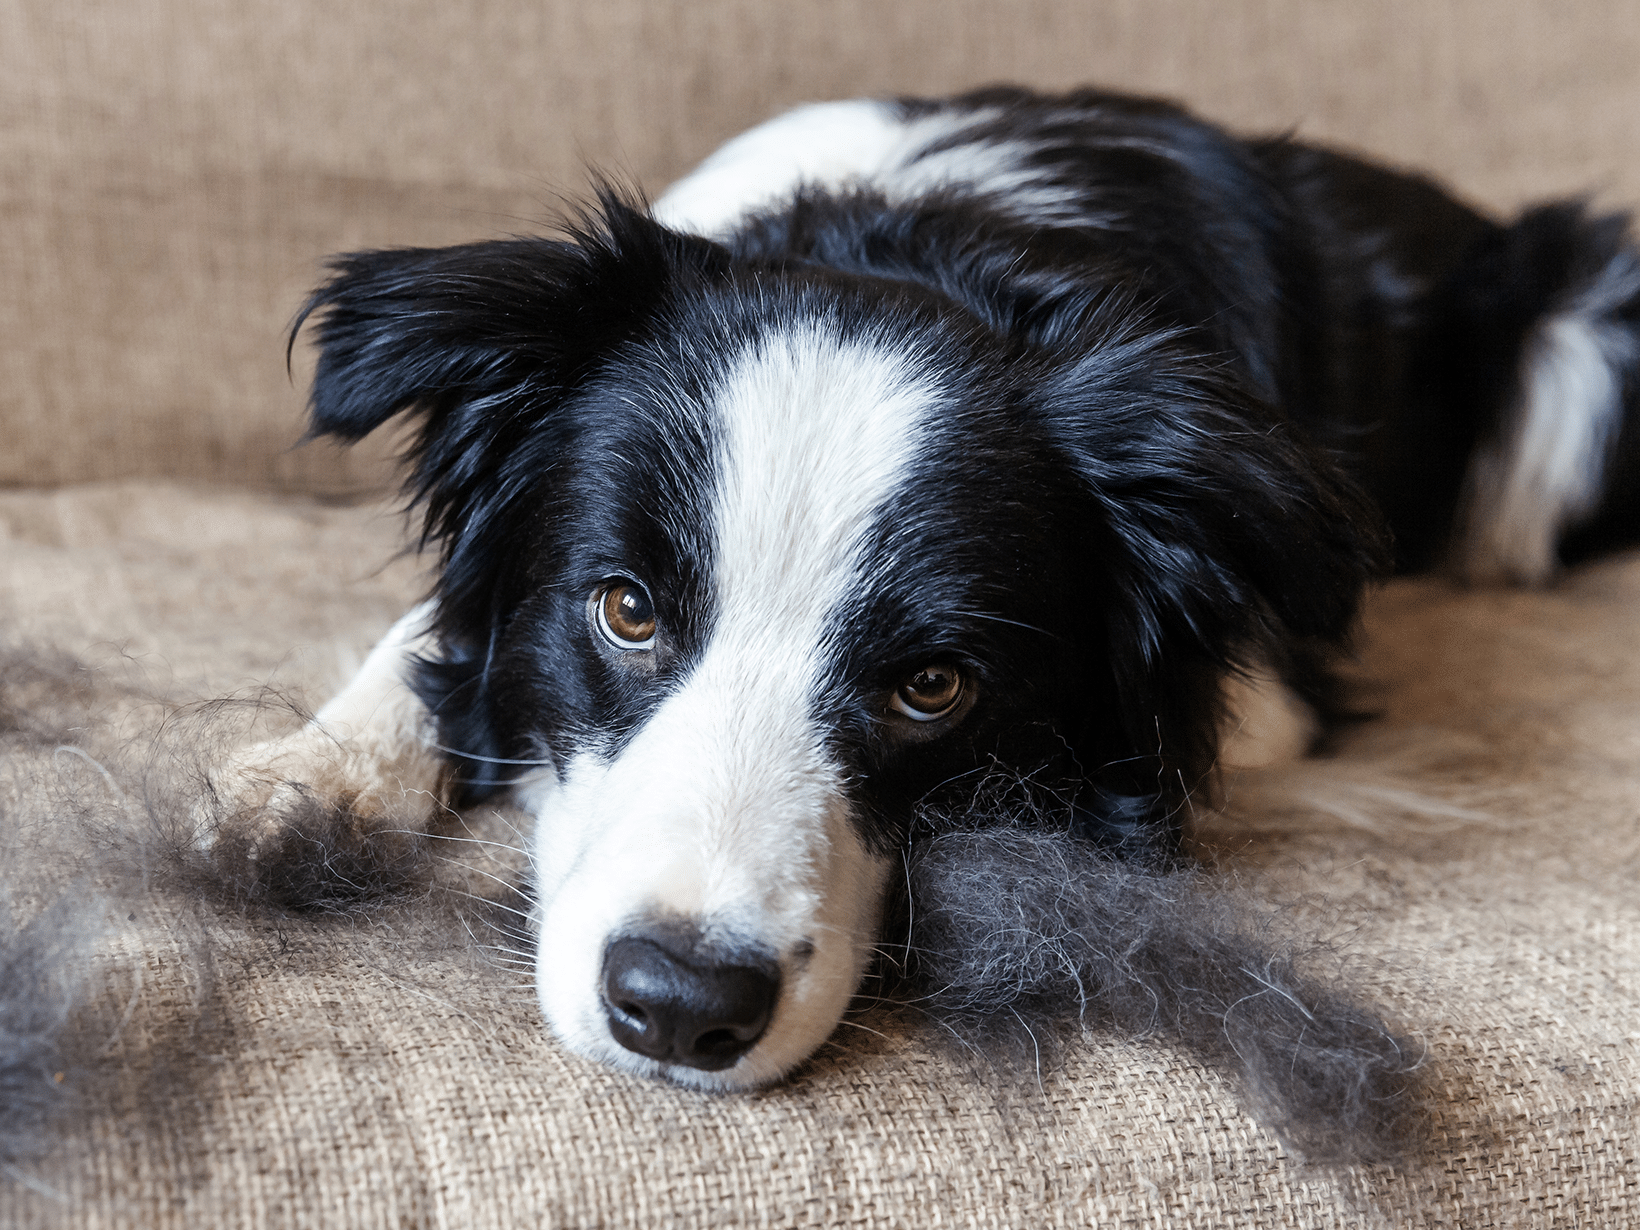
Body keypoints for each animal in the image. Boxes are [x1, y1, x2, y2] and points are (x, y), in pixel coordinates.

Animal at [205, 86, 1640, 1108]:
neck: (922, 248)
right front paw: (314, 775)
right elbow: (433, 636)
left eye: (933, 685)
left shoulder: (1269, 687)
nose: (678, 1006)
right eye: (625, 610)